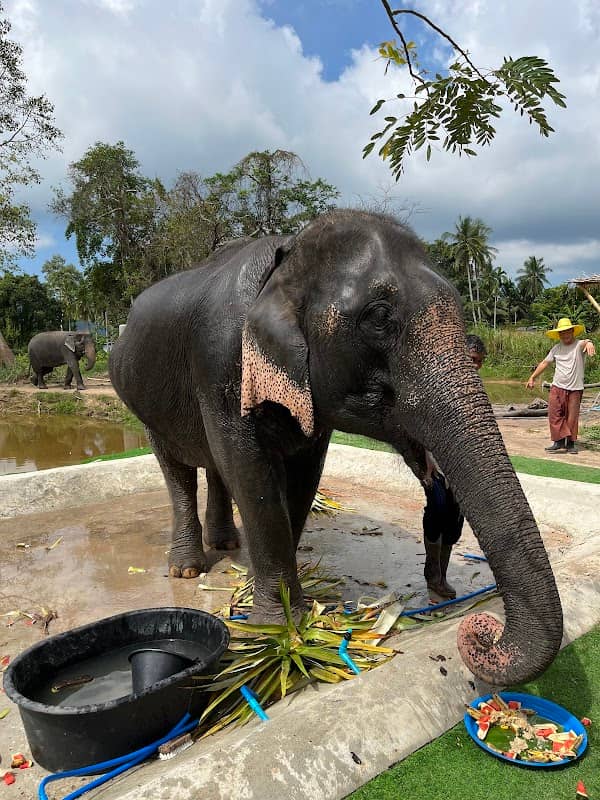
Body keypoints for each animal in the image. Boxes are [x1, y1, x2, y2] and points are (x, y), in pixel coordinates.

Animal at [109, 209, 563, 686]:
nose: (483, 629)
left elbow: (303, 475)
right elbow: (251, 474)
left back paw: (229, 546)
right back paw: (187, 567)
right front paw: (277, 628)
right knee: (177, 469)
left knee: (214, 467)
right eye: (379, 317)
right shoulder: (218, 366)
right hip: (143, 403)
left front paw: (289, 609)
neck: (288, 258)